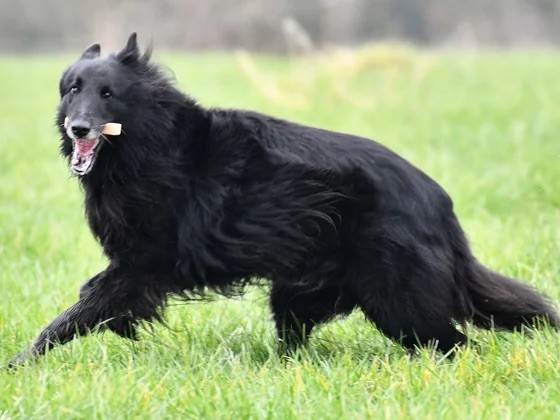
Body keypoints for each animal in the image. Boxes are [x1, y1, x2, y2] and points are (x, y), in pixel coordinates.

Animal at [7, 33, 556, 368]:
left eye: (108, 94)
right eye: (72, 89)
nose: (78, 128)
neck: (152, 141)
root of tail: (439, 203)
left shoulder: (141, 264)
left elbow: (75, 313)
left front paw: (18, 365)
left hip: (397, 298)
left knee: (455, 343)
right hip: (298, 292)